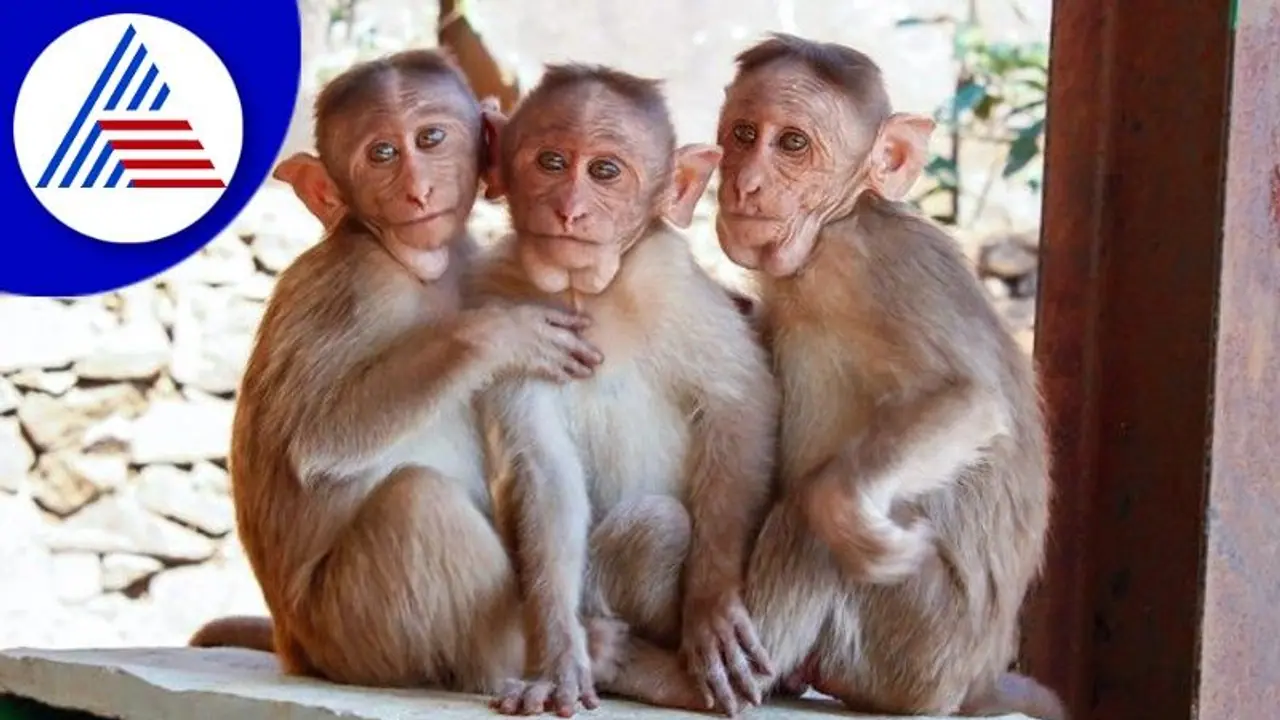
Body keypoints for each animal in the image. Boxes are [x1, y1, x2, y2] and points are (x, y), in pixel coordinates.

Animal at [185, 49, 644, 699]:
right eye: (381, 153)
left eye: (430, 139)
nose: (417, 191)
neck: (418, 266)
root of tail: (292, 644)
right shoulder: (357, 283)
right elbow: (314, 439)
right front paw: (500, 334)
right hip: (348, 630)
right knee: (415, 502)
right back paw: (520, 654)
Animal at [468, 64, 780, 718]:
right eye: (552, 162)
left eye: (605, 172)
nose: (569, 210)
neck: (586, 295)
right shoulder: (501, 304)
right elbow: (546, 471)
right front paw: (558, 659)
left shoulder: (673, 284)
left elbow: (740, 404)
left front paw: (712, 605)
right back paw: (608, 653)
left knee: (657, 525)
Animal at [704, 33, 1065, 719]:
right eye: (742, 133)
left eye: (793, 144)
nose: (745, 183)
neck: (837, 222)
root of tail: (976, 681)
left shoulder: (869, 265)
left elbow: (971, 401)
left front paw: (846, 515)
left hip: (918, 650)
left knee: (808, 511)